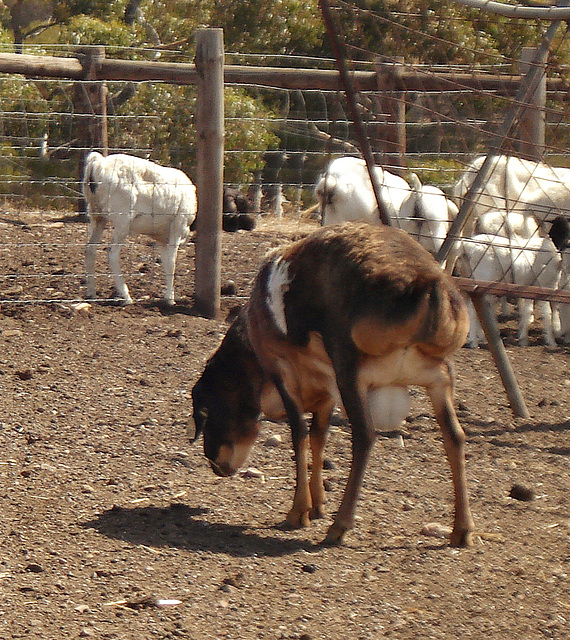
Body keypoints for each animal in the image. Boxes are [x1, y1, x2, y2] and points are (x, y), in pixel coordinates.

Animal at [82, 154, 196, 306]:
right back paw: (126, 297)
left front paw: (168, 295)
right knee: (112, 254)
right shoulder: (178, 226)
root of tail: (98, 163)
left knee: (90, 250)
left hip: (97, 216)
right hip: (123, 219)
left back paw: (91, 293)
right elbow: (172, 263)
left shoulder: (162, 238)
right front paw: (170, 299)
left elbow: (166, 262)